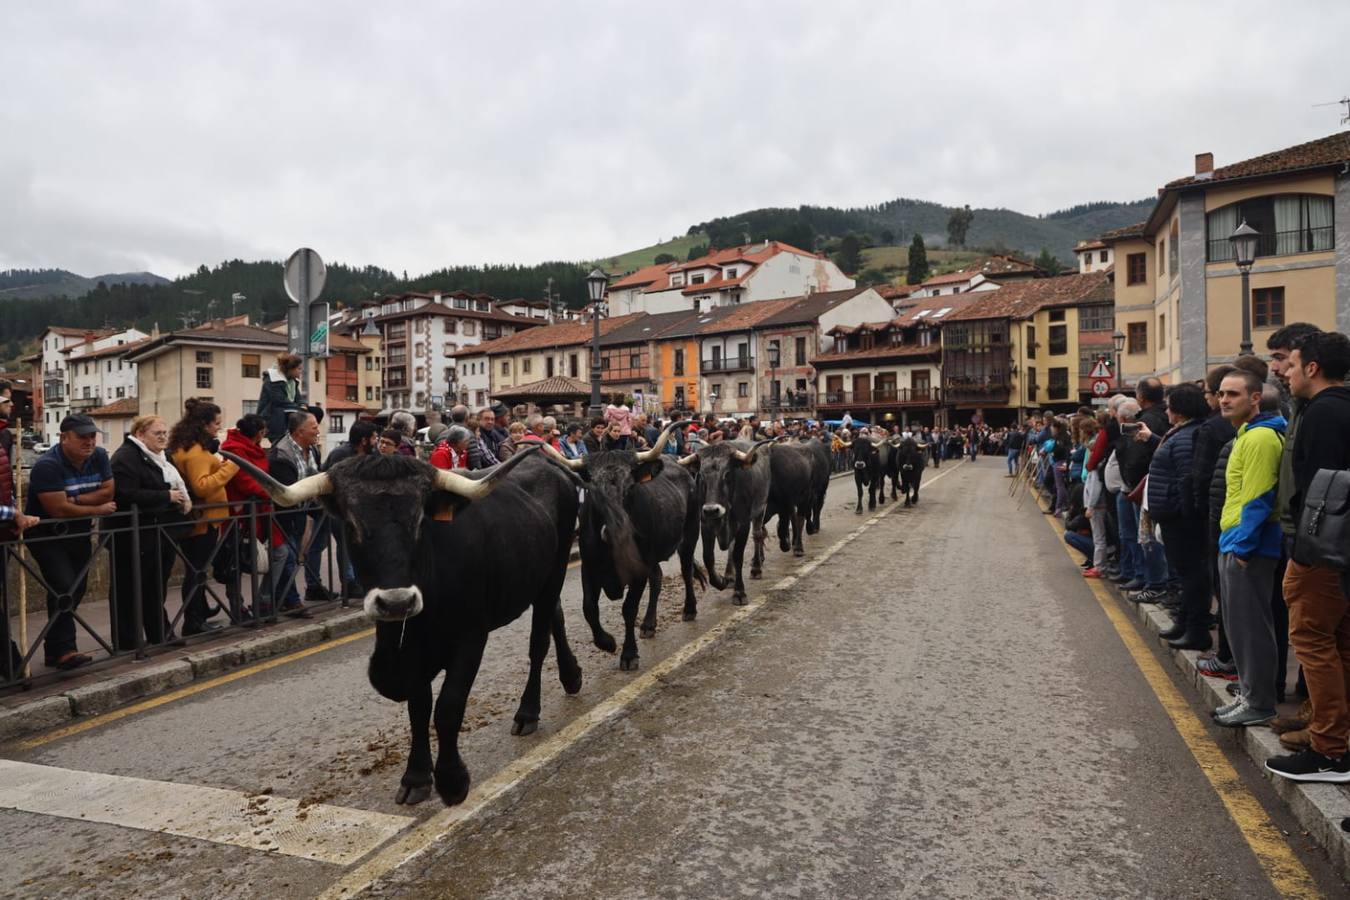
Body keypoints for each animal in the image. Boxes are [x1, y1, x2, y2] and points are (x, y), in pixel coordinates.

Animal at [221, 447, 580, 804]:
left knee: (539, 642)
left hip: (554, 572)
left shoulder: (471, 637)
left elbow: (448, 706)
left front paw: (452, 780)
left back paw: (528, 712)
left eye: (420, 520)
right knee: (556, 619)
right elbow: (418, 708)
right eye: (351, 524)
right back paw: (571, 676)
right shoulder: (410, 652)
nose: (396, 602)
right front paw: (417, 776)